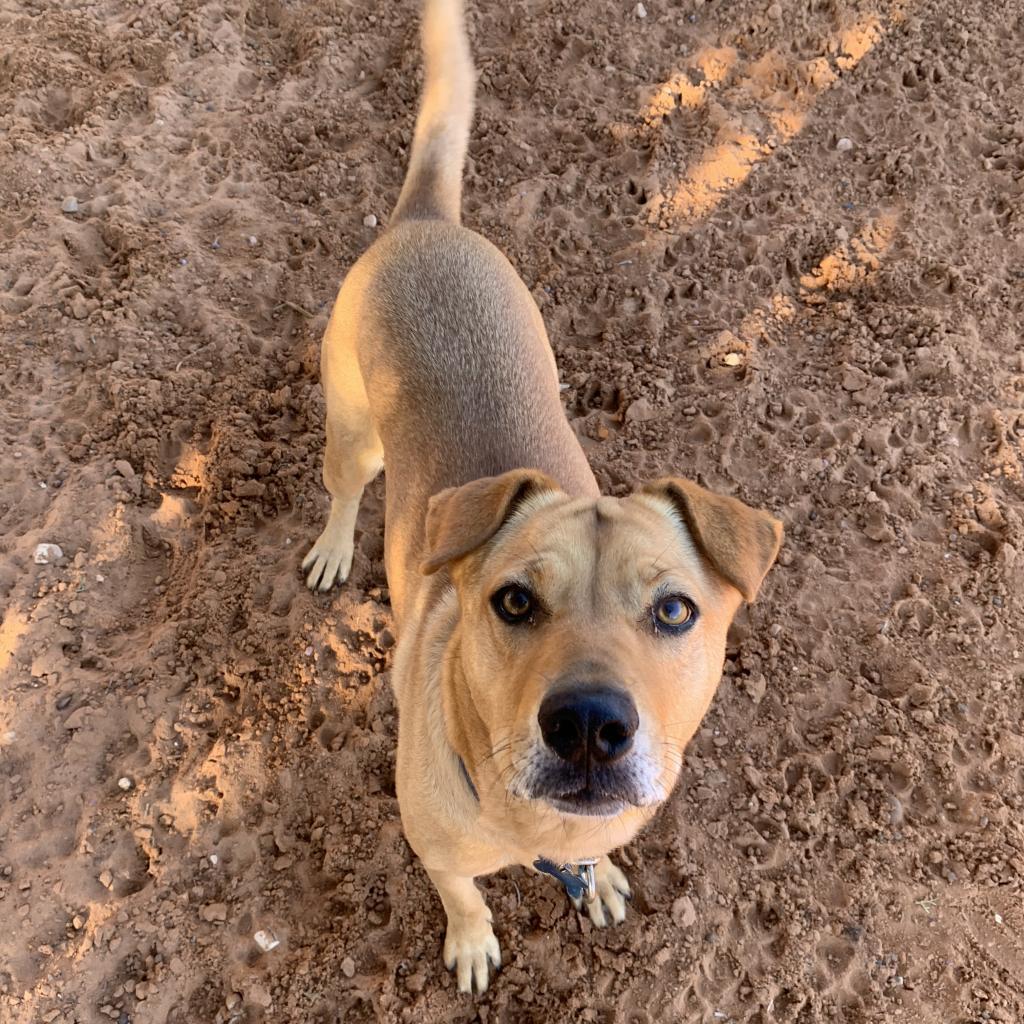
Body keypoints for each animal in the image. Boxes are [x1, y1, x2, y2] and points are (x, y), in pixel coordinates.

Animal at [299, 0, 778, 991]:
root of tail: (424, 220)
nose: (590, 725)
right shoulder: (434, 849)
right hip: (353, 432)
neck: (533, 824)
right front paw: (472, 941)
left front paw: (596, 880)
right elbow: (463, 895)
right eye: (513, 602)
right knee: (343, 489)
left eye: (675, 611)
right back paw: (331, 546)